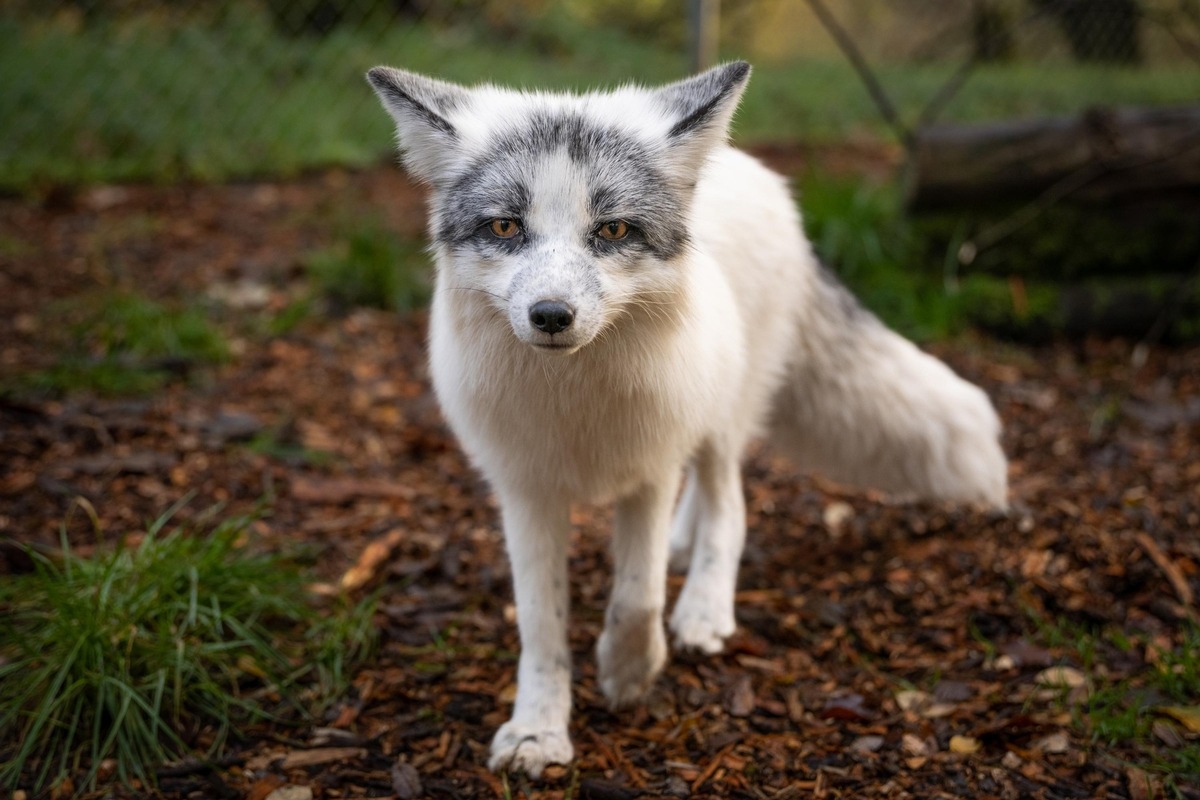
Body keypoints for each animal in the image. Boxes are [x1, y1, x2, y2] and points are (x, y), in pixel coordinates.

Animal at [364, 61, 1003, 777]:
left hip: (723, 411)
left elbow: (638, 597)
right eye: (505, 228)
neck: (576, 403)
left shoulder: (650, 466)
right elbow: (540, 624)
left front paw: (629, 672)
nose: (551, 315)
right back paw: (682, 548)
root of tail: (752, 168)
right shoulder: (527, 490)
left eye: (612, 230)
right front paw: (538, 731)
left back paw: (703, 605)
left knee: (730, 502)